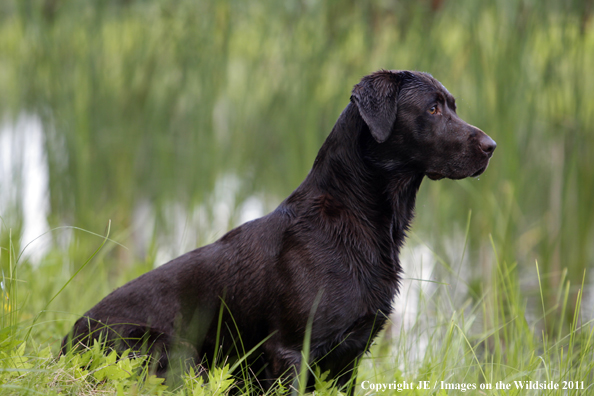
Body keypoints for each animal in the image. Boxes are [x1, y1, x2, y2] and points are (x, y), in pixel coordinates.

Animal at [61, 69, 494, 392]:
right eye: (433, 108)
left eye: (452, 106)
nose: (491, 145)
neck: (355, 219)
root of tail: (65, 344)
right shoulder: (290, 351)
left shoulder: (349, 358)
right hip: (176, 353)